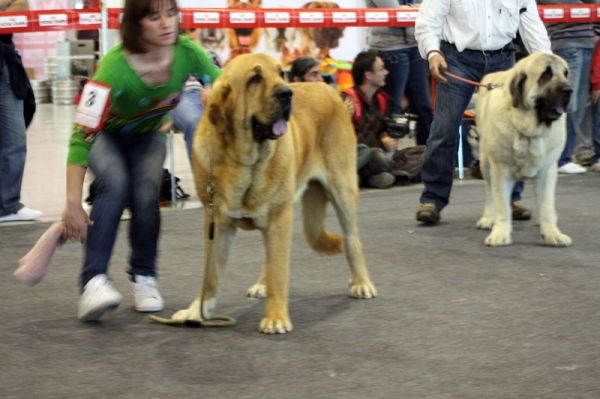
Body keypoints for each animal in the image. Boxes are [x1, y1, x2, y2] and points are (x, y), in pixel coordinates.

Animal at [173, 53, 378, 334]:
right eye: (255, 78)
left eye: (281, 73)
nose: (287, 93)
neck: (244, 161)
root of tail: (327, 87)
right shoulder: (218, 223)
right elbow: (211, 275)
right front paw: (197, 311)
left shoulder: (280, 219)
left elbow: (279, 271)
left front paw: (276, 318)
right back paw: (262, 284)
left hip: (342, 188)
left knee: (351, 238)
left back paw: (361, 282)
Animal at [476, 53, 576, 247]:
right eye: (546, 74)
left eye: (565, 73)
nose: (569, 90)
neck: (528, 130)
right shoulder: (500, 169)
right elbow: (502, 206)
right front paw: (500, 233)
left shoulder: (547, 171)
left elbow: (545, 205)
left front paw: (552, 234)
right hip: (485, 162)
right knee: (489, 192)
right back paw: (488, 218)